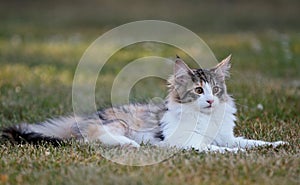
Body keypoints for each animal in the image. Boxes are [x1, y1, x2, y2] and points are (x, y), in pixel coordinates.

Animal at [0, 55, 286, 153]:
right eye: (198, 90)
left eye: (215, 89)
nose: (210, 100)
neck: (206, 118)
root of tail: (83, 118)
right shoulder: (188, 141)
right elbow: (219, 149)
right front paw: (236, 154)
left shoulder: (227, 135)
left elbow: (250, 142)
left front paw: (275, 144)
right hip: (118, 123)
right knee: (93, 138)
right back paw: (133, 145)